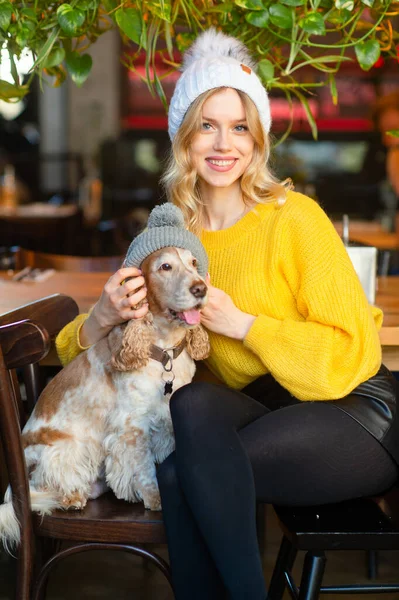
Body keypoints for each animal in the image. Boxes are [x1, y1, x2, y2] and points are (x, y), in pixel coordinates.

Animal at [0, 245, 211, 548]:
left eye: (194, 263)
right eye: (165, 267)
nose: (200, 288)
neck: (164, 350)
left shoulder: (169, 418)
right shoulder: (132, 428)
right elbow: (145, 469)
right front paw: (155, 498)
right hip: (64, 449)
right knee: (46, 485)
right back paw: (70, 497)